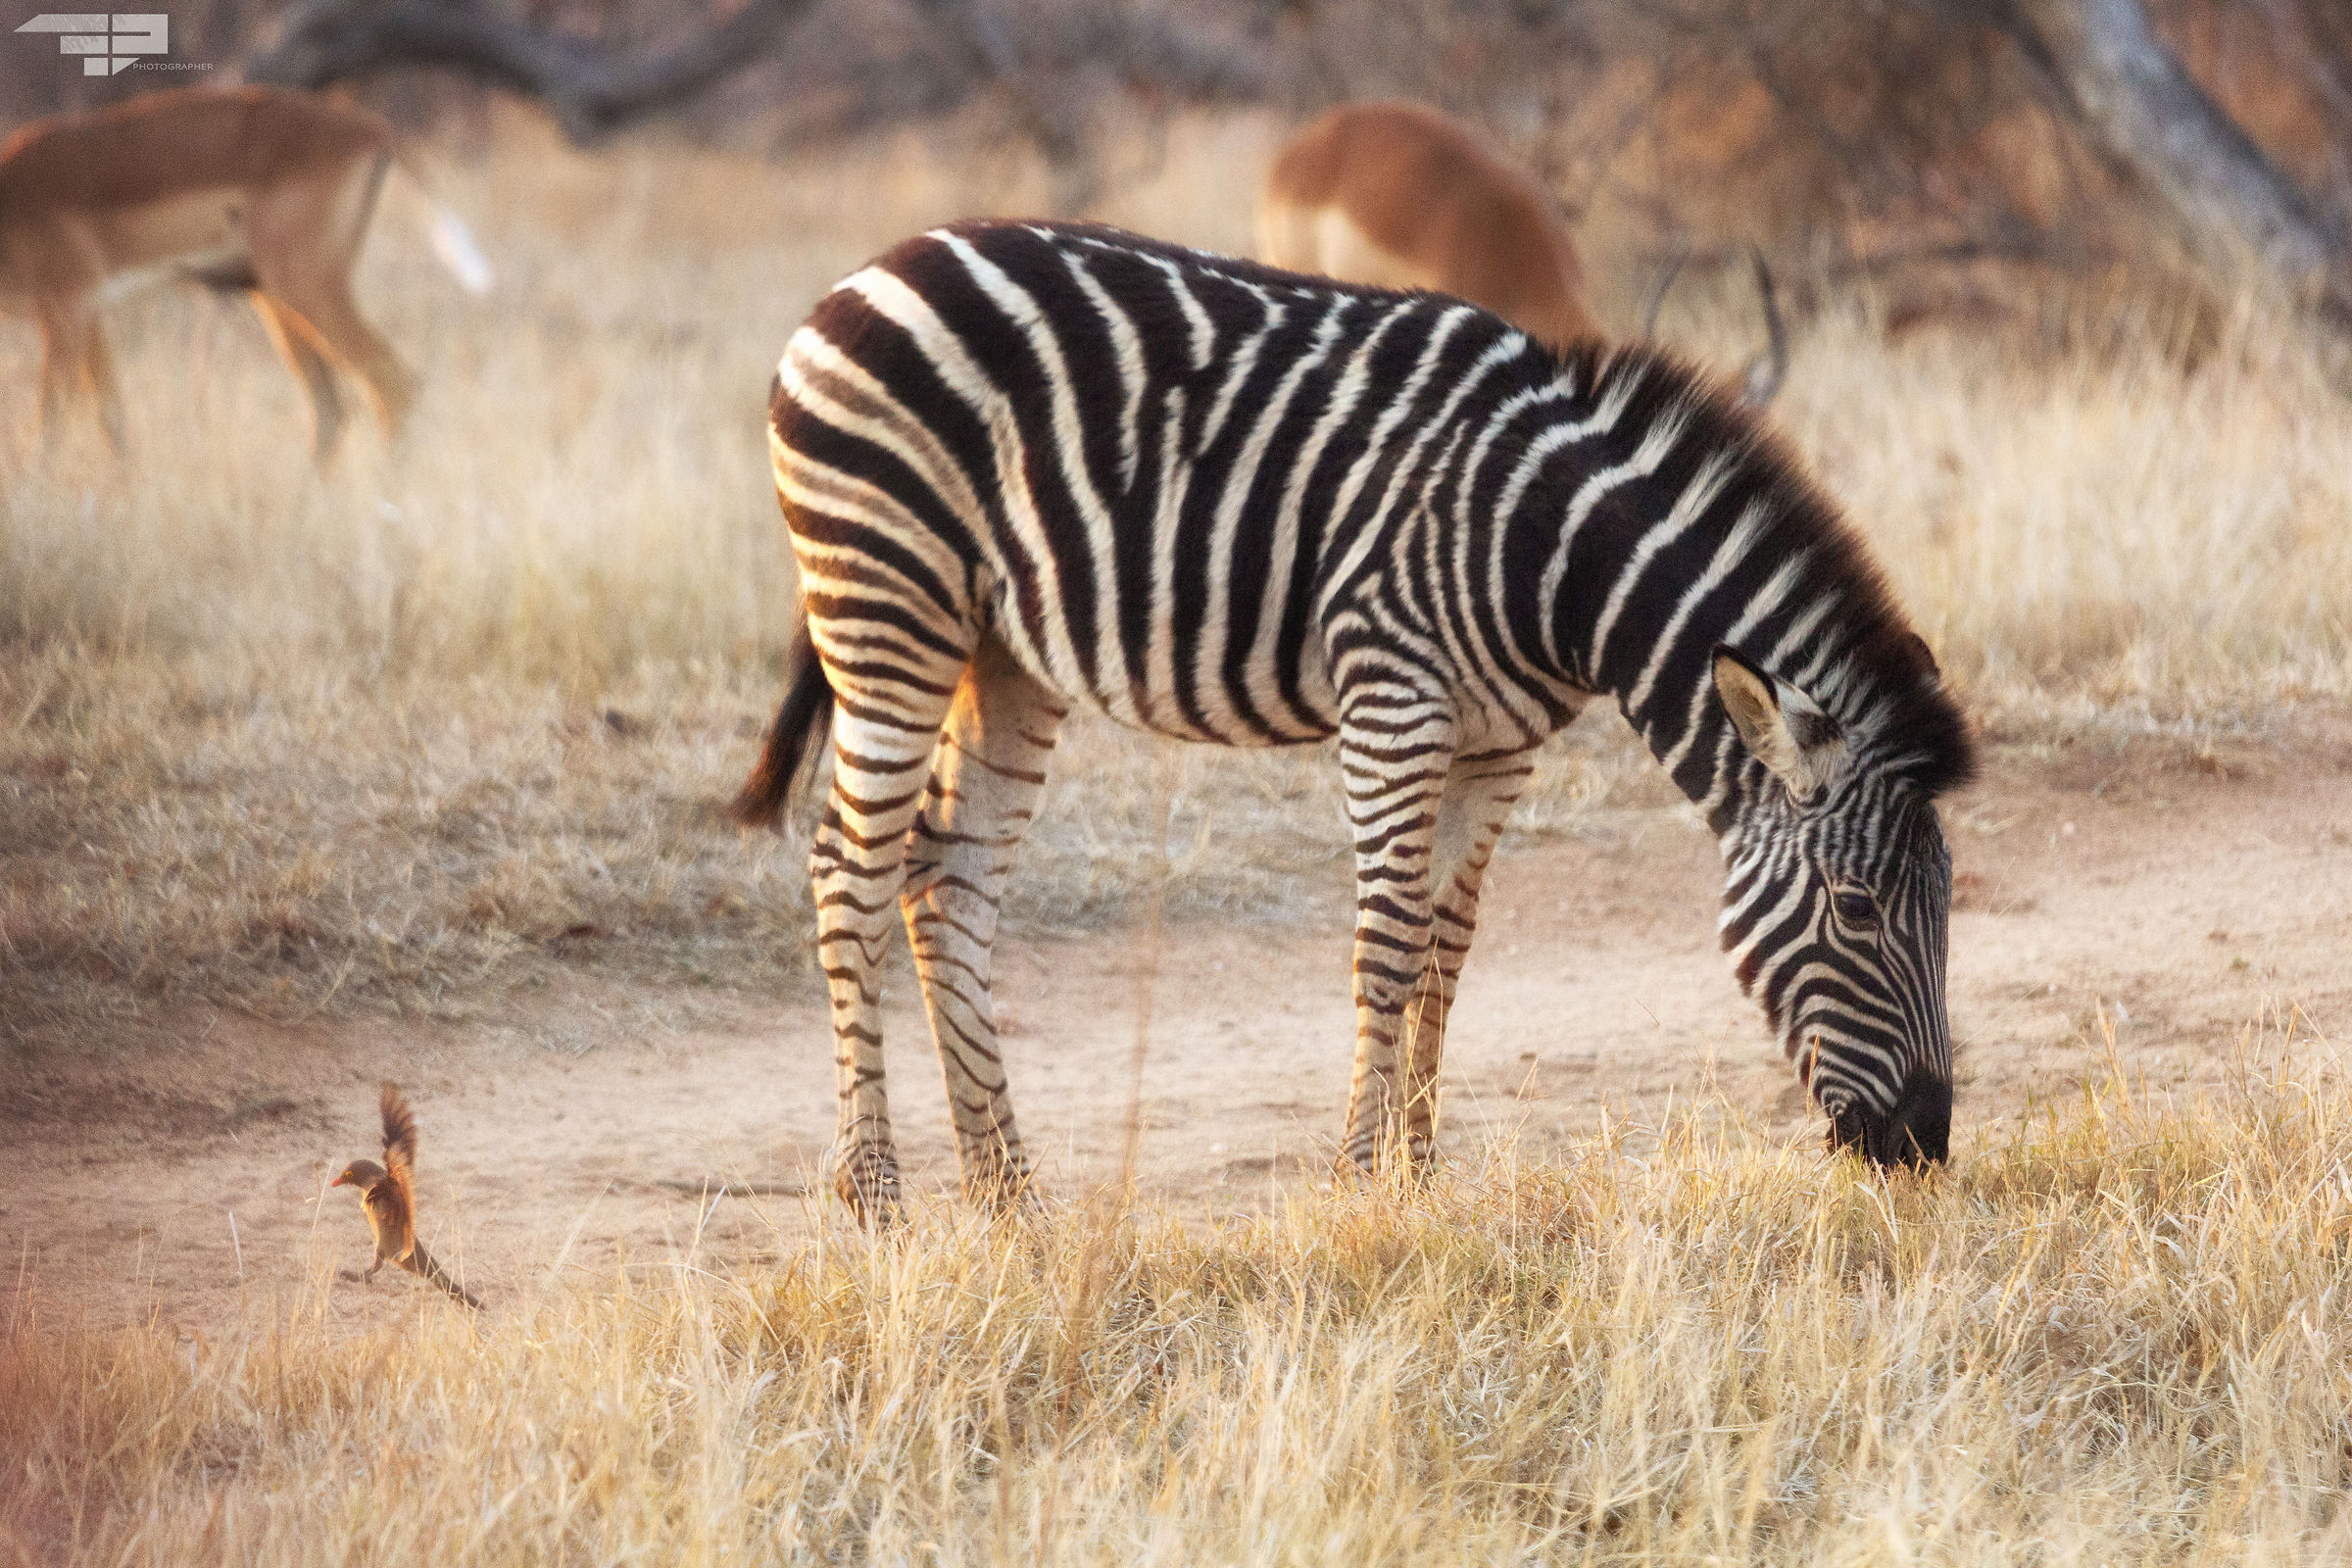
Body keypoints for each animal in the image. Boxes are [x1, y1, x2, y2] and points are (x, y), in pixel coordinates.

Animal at [733, 219, 1975, 1220]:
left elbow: (1446, 947)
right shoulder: (1393, 697)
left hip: (1003, 653)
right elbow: (1385, 944)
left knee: (945, 876)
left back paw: (1008, 1192)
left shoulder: (1499, 742)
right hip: (889, 602)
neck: (1551, 553)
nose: (1924, 1142)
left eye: (1941, 905)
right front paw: (1358, 1181)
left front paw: (1419, 1172)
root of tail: (868, 272)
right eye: (1858, 909)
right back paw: (878, 1196)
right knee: (850, 869)